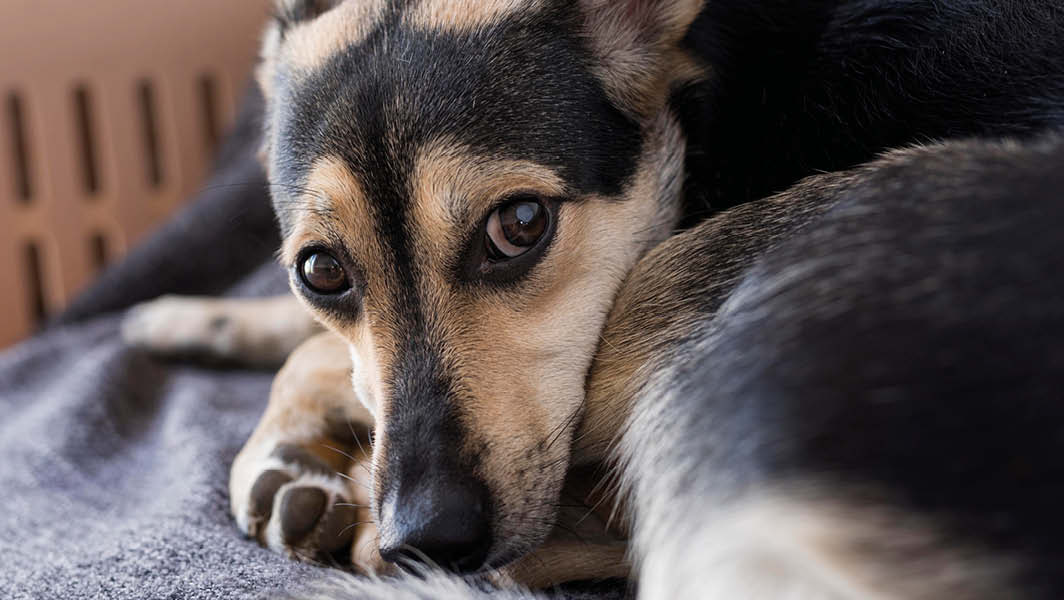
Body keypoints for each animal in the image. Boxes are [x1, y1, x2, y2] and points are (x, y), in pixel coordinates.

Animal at [124, 0, 1064, 595]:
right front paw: (191, 317)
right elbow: (311, 335)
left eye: (520, 224)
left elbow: (316, 352)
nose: (427, 537)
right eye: (321, 271)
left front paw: (280, 442)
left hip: (718, 265)